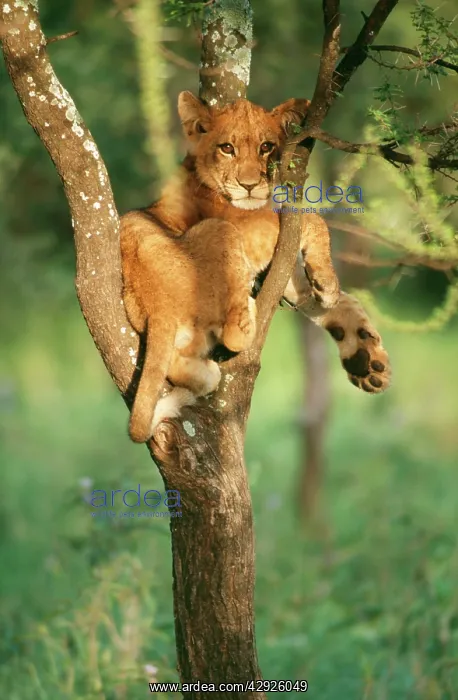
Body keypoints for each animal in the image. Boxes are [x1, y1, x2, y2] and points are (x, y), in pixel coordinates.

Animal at [121, 91, 390, 442]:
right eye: (227, 148)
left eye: (267, 147)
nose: (249, 185)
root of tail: (158, 305)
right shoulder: (249, 228)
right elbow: (312, 218)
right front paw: (327, 283)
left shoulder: (285, 273)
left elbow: (339, 303)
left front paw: (366, 360)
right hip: (220, 230)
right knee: (234, 336)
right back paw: (248, 310)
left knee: (181, 364)